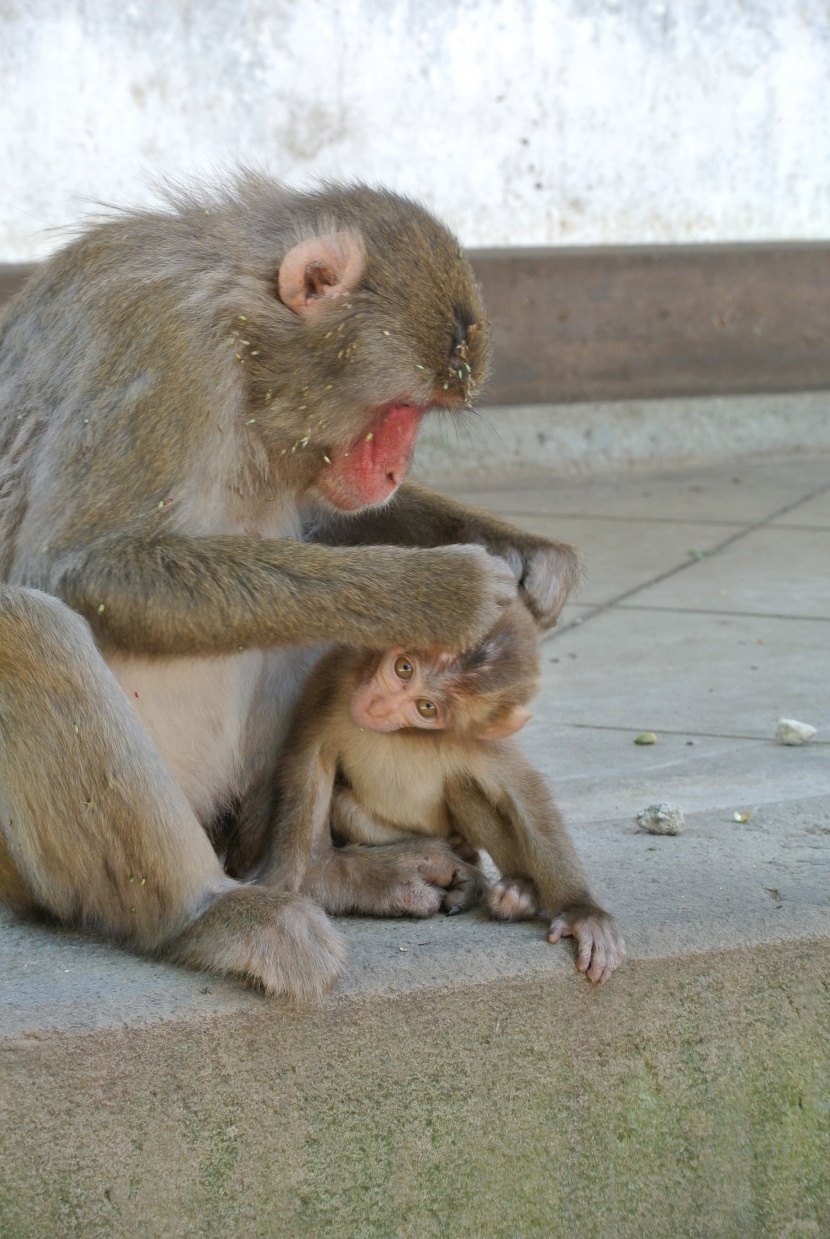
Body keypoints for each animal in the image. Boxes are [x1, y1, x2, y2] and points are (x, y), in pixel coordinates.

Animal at [0, 174, 579, 1001]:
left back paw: (321, 875)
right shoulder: (158, 343)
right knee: (27, 626)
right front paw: (442, 587)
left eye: (420, 416)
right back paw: (206, 916)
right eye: (399, 409)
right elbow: (80, 564)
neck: (245, 348)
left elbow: (325, 520)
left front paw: (530, 555)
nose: (394, 469)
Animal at [265, 604, 624, 981]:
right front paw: (281, 897)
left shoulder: (475, 737)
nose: (377, 706)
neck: (403, 734)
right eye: (404, 668)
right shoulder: (336, 675)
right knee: (344, 806)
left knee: (463, 787)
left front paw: (582, 911)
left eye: (427, 707)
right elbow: (309, 763)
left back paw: (520, 888)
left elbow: (524, 793)